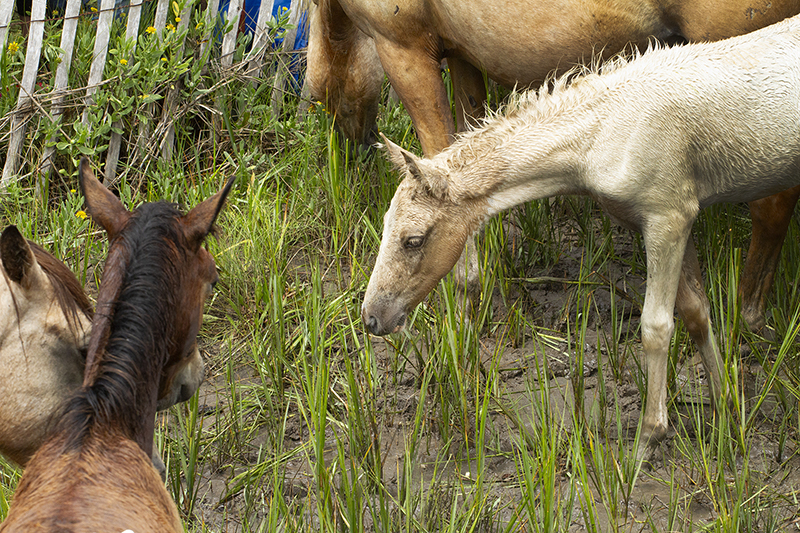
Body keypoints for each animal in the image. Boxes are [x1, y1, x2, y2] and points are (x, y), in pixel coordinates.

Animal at [310, 0, 800, 330]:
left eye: (411, 240)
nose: (371, 318)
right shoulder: (464, 57)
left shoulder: (404, 49)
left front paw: (466, 307)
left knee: (773, 205)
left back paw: (746, 317)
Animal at [364, 14, 800, 446]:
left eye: (413, 240)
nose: (371, 319)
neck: (603, 132)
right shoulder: (669, 218)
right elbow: (695, 312)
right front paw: (725, 405)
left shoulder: (667, 216)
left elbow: (657, 326)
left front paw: (649, 436)